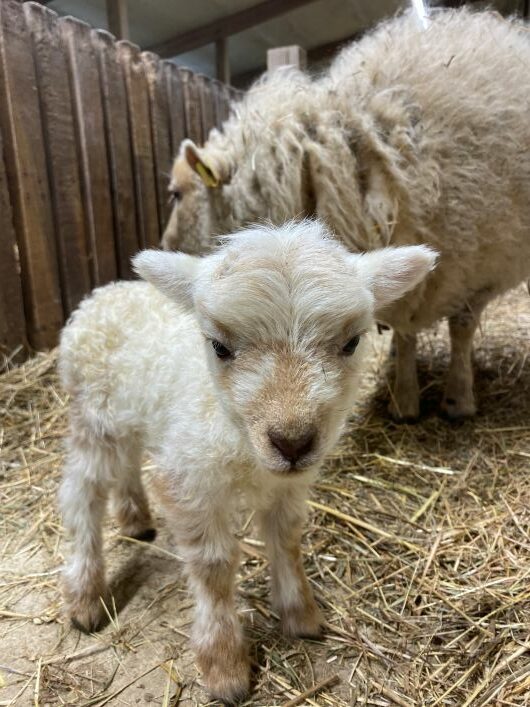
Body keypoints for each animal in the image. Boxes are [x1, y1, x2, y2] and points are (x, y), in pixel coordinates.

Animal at [59, 220, 436, 702]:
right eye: (219, 347)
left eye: (352, 342)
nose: (292, 442)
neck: (240, 441)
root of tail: (104, 293)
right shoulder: (192, 484)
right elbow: (214, 568)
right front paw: (225, 668)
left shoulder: (289, 486)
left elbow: (287, 539)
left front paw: (300, 615)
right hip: (93, 418)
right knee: (80, 493)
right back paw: (86, 597)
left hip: (133, 416)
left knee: (126, 462)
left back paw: (134, 519)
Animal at [161, 7, 530, 422]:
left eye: (176, 193)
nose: (163, 243)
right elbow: (406, 332)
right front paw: (405, 400)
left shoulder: (478, 272)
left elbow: (461, 330)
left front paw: (458, 399)